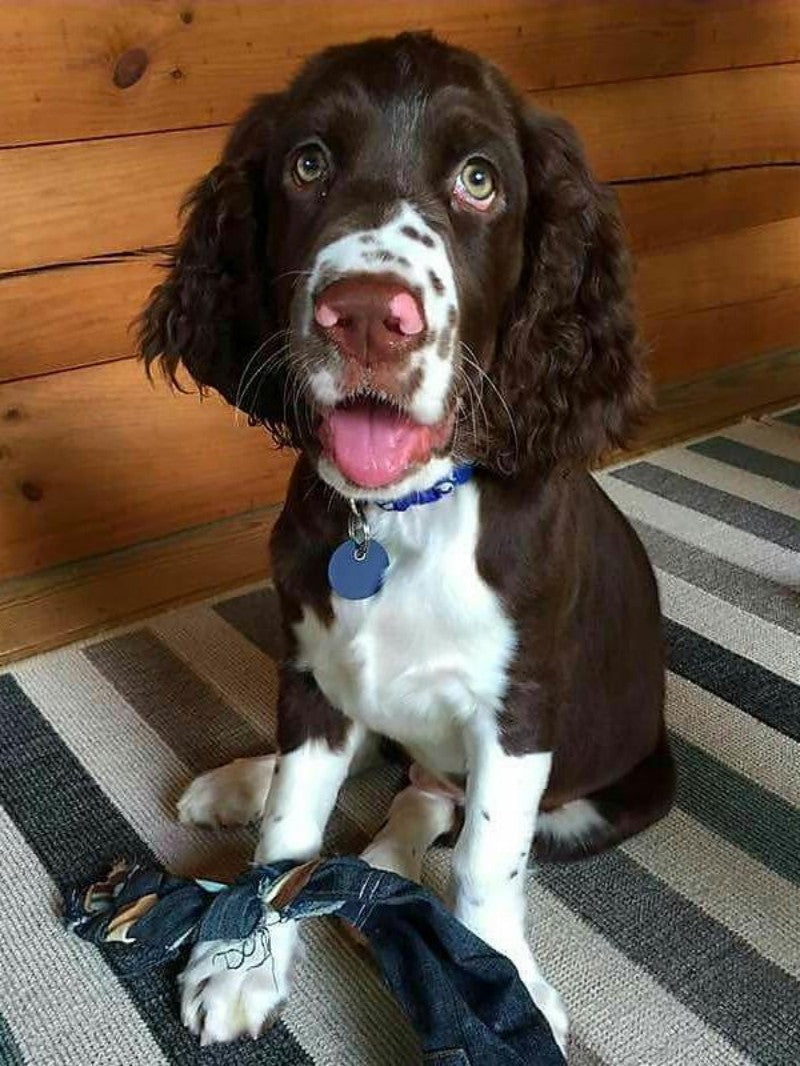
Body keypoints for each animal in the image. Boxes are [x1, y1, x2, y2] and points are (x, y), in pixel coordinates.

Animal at [140, 31, 674, 1048]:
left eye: (479, 180)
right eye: (308, 164)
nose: (364, 315)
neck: (398, 515)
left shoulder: (521, 706)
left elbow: (486, 861)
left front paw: (499, 982)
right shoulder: (311, 662)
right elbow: (292, 826)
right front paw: (245, 962)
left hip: (607, 797)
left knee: (434, 798)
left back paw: (387, 870)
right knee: (384, 768)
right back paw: (245, 784)